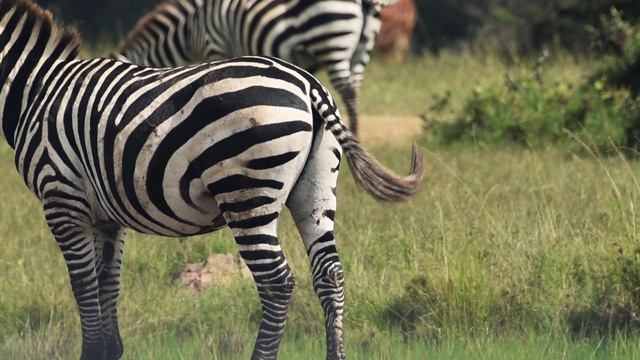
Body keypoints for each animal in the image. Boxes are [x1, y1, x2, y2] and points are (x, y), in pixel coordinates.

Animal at [112, 0, 398, 136]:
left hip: (332, 39)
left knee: (348, 92)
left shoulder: (216, 44)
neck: (190, 27)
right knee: (355, 93)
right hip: (360, 49)